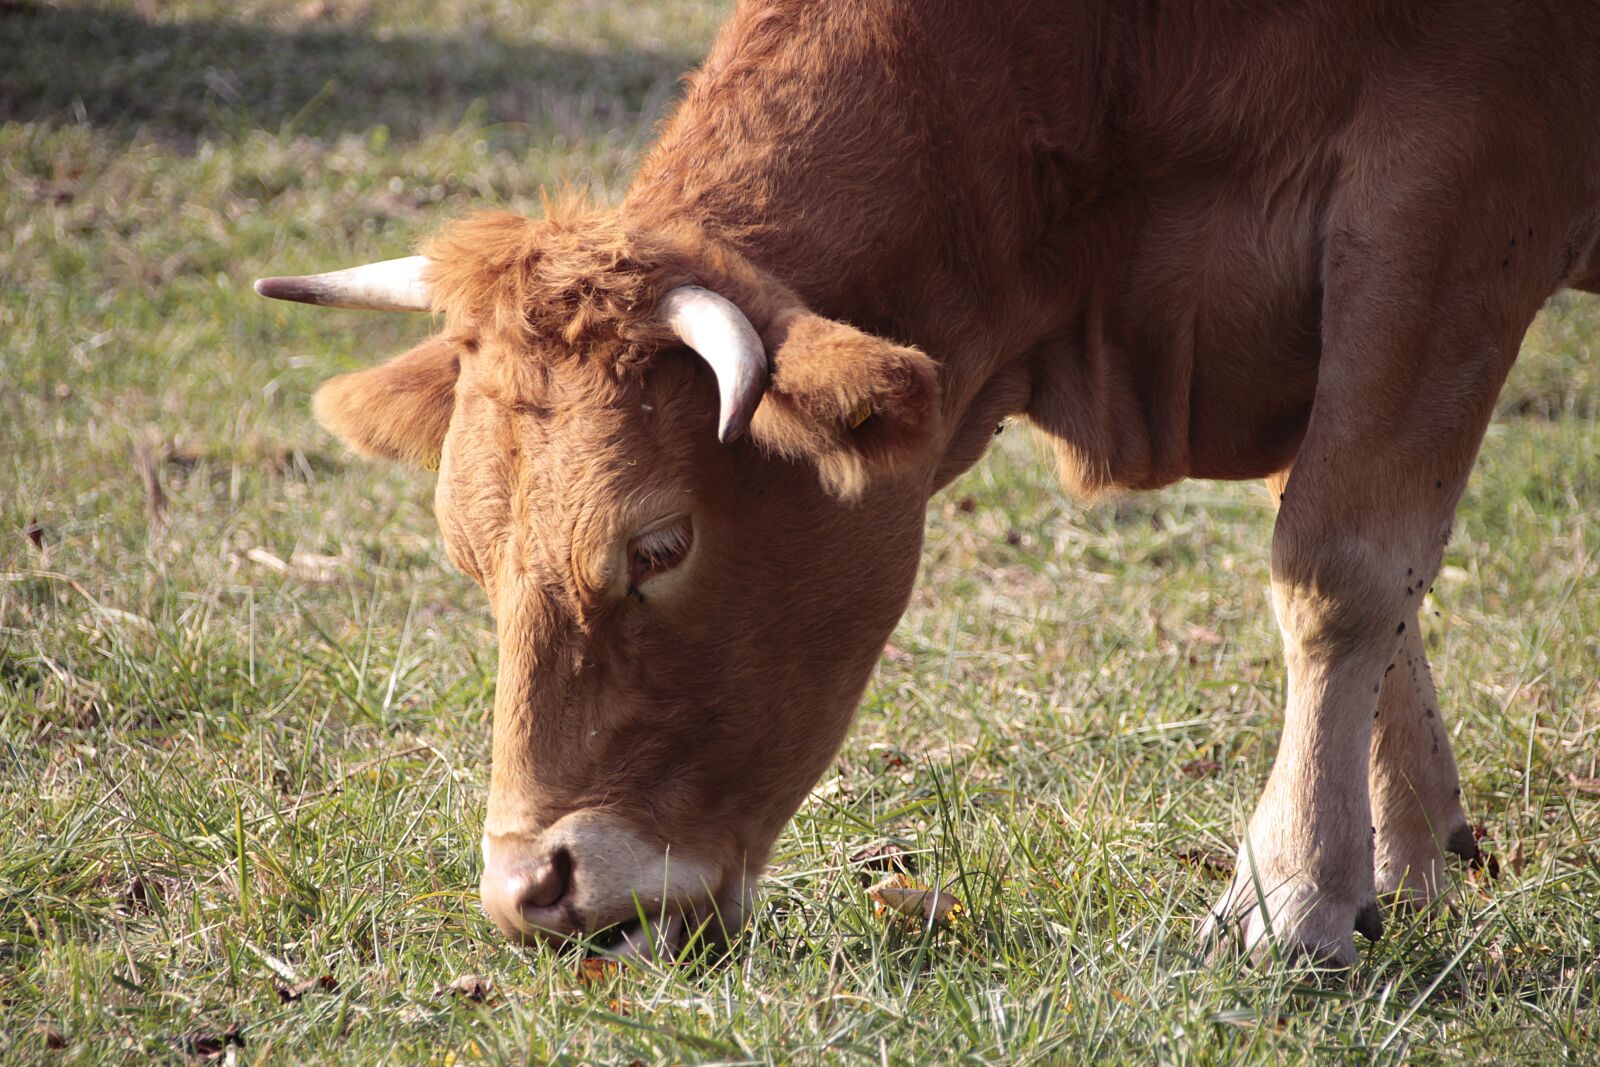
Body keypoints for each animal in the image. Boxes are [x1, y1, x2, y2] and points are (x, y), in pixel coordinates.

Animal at [253, 0, 1600, 967]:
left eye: (658, 546)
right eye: (471, 558)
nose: (531, 890)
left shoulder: (1450, 191)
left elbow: (1341, 561)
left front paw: (1296, 891)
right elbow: (1383, 574)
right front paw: (1406, 855)